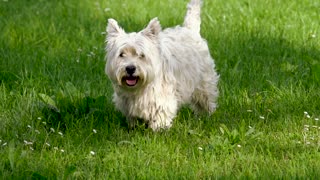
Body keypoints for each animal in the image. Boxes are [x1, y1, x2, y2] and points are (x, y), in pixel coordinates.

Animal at [106, 0, 219, 130]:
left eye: (141, 55)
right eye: (121, 54)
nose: (130, 68)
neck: (138, 89)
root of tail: (190, 30)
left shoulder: (162, 99)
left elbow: (160, 116)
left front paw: (158, 130)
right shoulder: (126, 102)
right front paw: (134, 127)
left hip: (203, 83)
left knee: (206, 99)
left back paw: (206, 115)